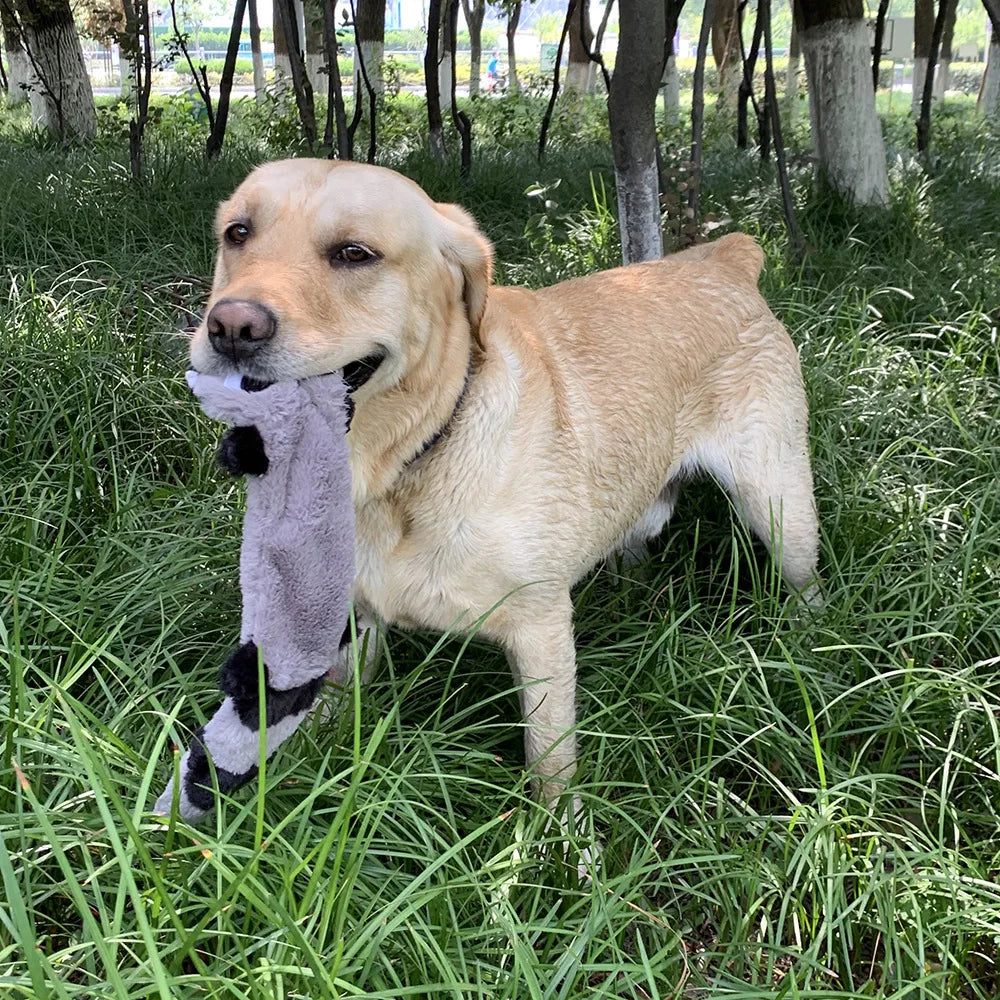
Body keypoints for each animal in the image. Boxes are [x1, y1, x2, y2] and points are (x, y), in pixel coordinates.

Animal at [189, 160, 820, 808]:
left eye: (354, 253)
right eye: (238, 233)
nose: (231, 326)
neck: (408, 461)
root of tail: (723, 259)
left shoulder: (541, 632)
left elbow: (550, 765)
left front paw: (557, 835)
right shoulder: (349, 623)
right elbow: (328, 711)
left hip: (778, 507)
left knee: (805, 584)